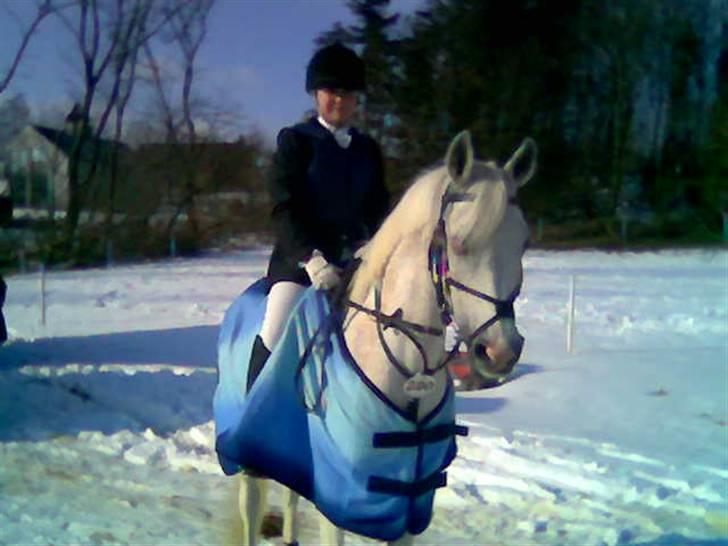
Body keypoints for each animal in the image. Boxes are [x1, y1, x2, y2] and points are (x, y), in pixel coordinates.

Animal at [213, 130, 537, 546]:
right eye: (460, 241)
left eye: (523, 243)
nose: (501, 352)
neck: (407, 367)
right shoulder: (338, 493)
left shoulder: (409, 502)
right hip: (247, 456)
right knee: (251, 507)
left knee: (291, 494)